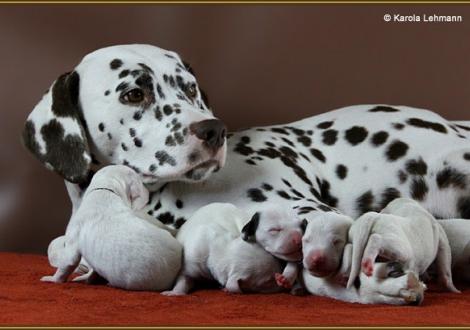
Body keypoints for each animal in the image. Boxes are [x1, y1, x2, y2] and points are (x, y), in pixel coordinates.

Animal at [41, 165, 183, 292]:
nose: (148, 193)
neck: (105, 189)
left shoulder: (72, 242)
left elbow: (67, 263)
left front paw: (53, 279)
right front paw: (89, 279)